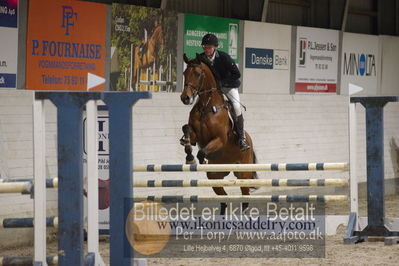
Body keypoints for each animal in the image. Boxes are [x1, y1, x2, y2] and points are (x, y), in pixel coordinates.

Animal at [180, 53, 258, 215]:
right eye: (184, 73)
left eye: (198, 74)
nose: (185, 98)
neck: (206, 106)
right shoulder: (197, 136)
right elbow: (186, 130)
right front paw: (189, 155)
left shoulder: (219, 139)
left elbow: (202, 152)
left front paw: (199, 159)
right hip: (215, 177)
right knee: (223, 198)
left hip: (243, 174)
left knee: (245, 196)